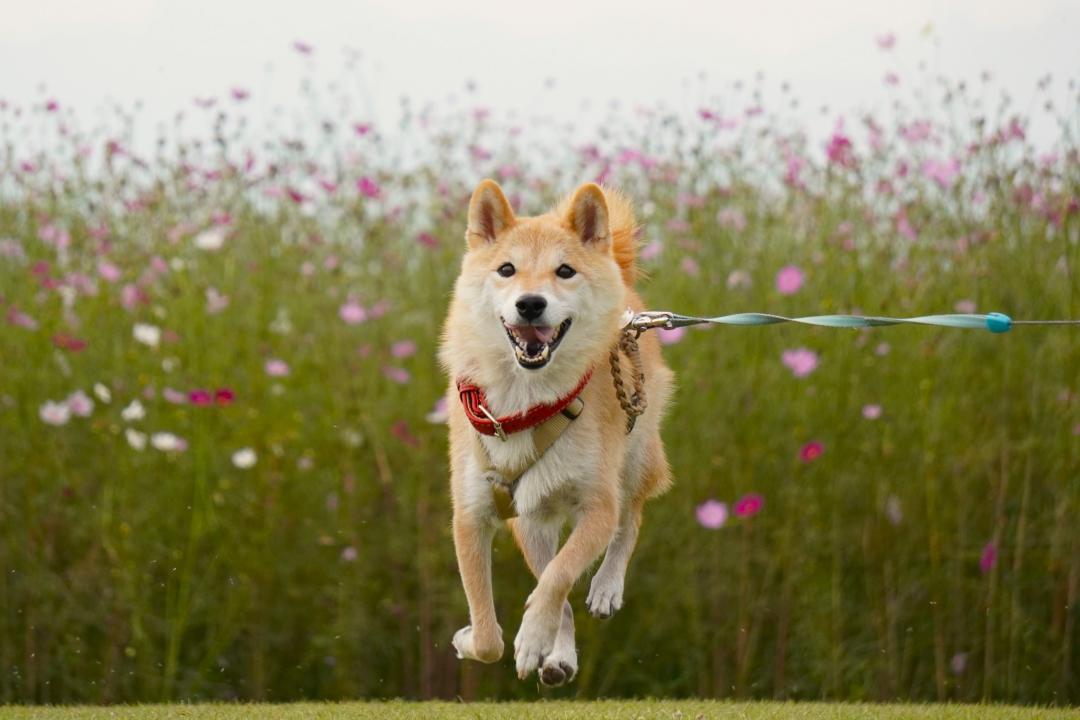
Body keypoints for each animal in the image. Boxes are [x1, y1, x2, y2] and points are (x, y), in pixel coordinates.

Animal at [438, 180, 673, 686]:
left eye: (564, 271)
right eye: (506, 269)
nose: (530, 303)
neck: (525, 404)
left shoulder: (598, 507)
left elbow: (561, 576)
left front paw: (531, 636)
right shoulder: (471, 515)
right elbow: (489, 635)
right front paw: (476, 641)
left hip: (636, 457)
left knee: (630, 518)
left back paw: (604, 588)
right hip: (530, 521)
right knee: (551, 574)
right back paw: (558, 656)